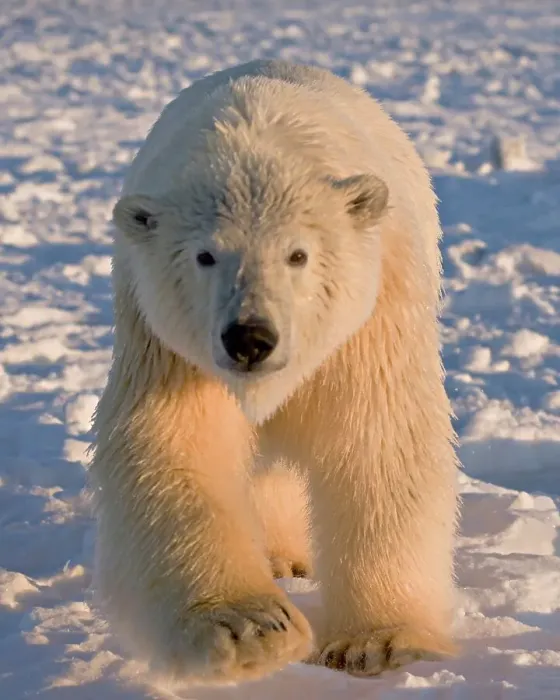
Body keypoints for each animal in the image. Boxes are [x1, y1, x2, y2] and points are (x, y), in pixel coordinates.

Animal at [90, 59, 459, 685]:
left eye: (298, 254)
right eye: (205, 255)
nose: (250, 338)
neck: (258, 139)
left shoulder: (369, 322)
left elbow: (379, 444)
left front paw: (380, 643)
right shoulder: (166, 342)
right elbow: (174, 444)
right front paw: (251, 629)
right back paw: (279, 556)